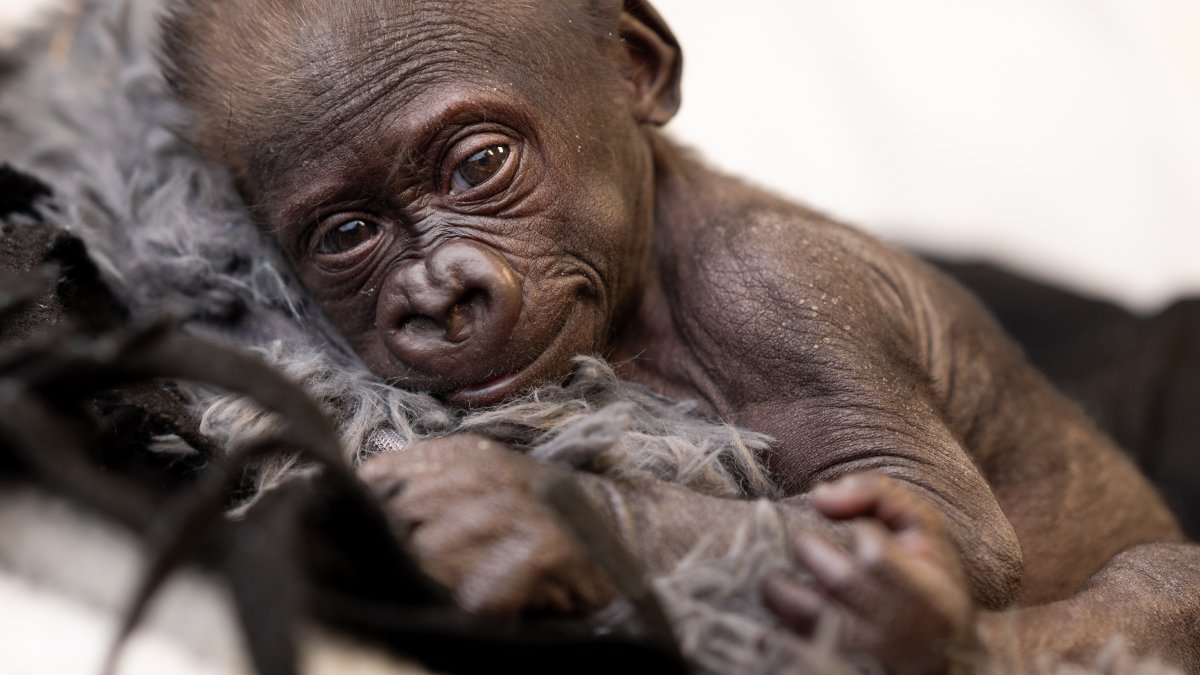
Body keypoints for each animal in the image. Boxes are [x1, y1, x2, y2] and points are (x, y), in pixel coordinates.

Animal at [160, 0, 1200, 672]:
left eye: (479, 164)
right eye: (347, 233)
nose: (440, 297)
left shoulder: (780, 289)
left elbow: (946, 526)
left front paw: (528, 513)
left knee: (1155, 578)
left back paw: (906, 632)